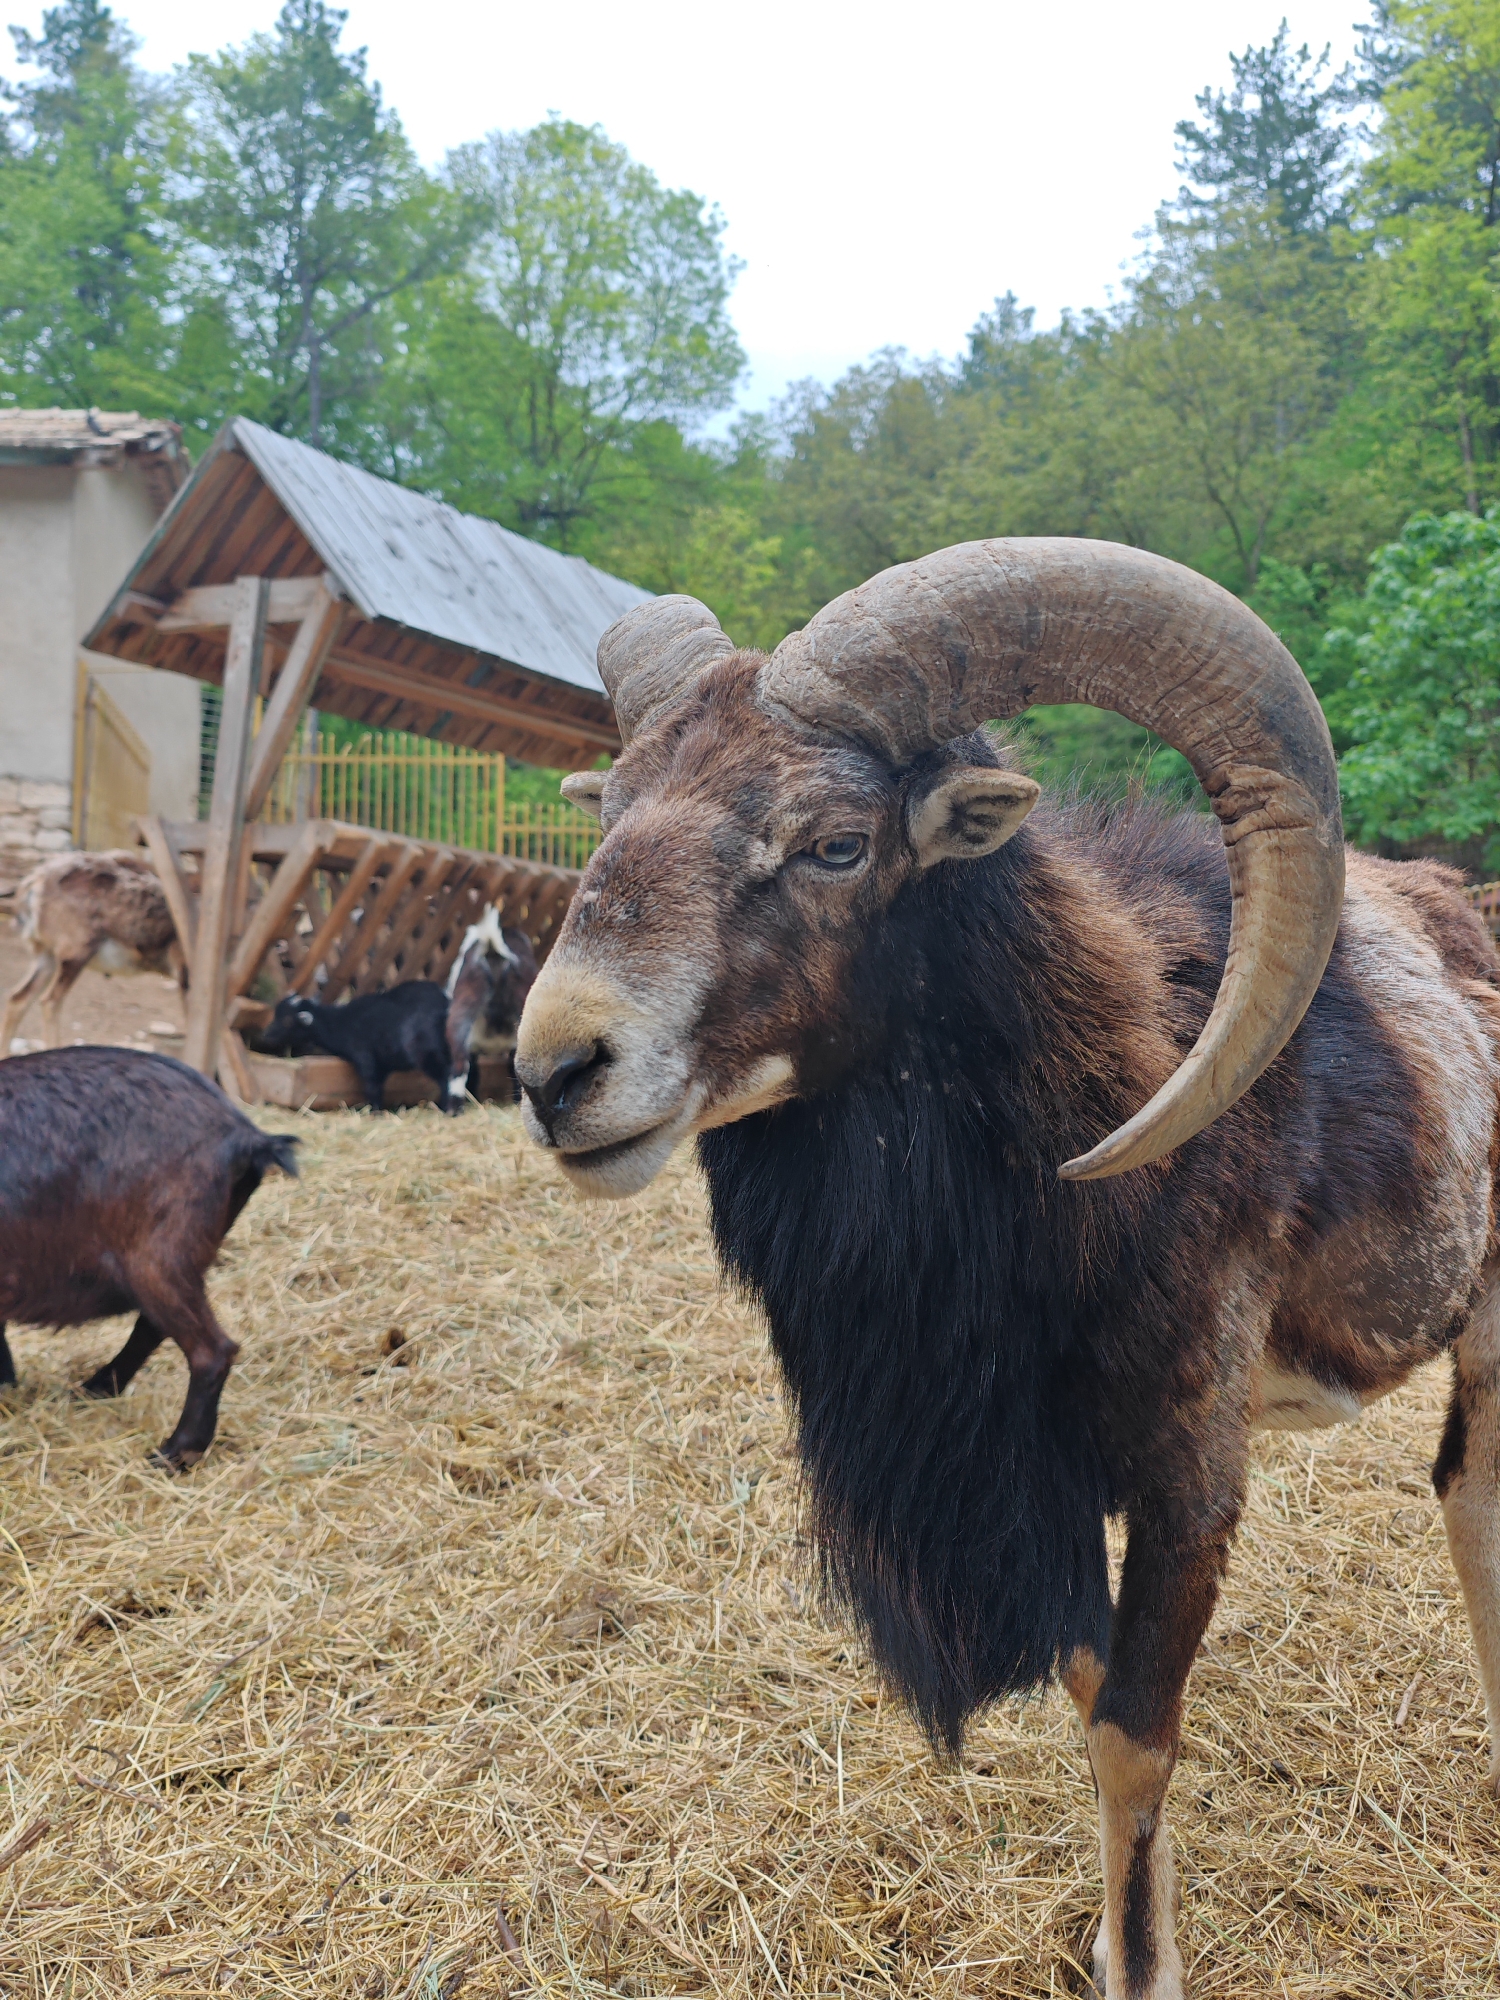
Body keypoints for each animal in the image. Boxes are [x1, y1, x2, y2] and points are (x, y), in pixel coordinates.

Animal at [0, 1046, 297, 1467]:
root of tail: (246, 1136)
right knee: (153, 1327)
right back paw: (94, 1389)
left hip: (156, 1254)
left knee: (210, 1350)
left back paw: (174, 1453)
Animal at [258, 981, 456, 1113]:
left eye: (287, 1020)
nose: (266, 1034)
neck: (342, 1022)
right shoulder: (383, 1065)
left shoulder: (366, 1060)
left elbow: (372, 1087)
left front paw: (374, 1111)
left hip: (428, 1054)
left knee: (445, 1078)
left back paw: (446, 1108)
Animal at [514, 542, 1500, 1999]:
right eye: (615, 812)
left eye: (837, 841)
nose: (557, 1071)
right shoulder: (1043, 1489)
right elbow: (1094, 1700)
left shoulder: (1189, 1479)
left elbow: (1134, 1735)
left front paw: (1141, 1969)